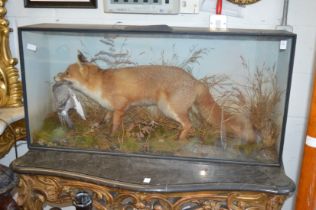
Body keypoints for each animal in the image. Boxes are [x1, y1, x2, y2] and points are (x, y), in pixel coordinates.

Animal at [55, 53, 256, 141]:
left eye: (66, 73)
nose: (55, 77)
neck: (101, 85)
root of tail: (195, 80)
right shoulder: (110, 108)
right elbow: (104, 119)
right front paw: (97, 126)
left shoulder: (120, 108)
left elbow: (114, 124)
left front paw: (111, 135)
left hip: (167, 108)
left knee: (189, 124)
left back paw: (179, 139)